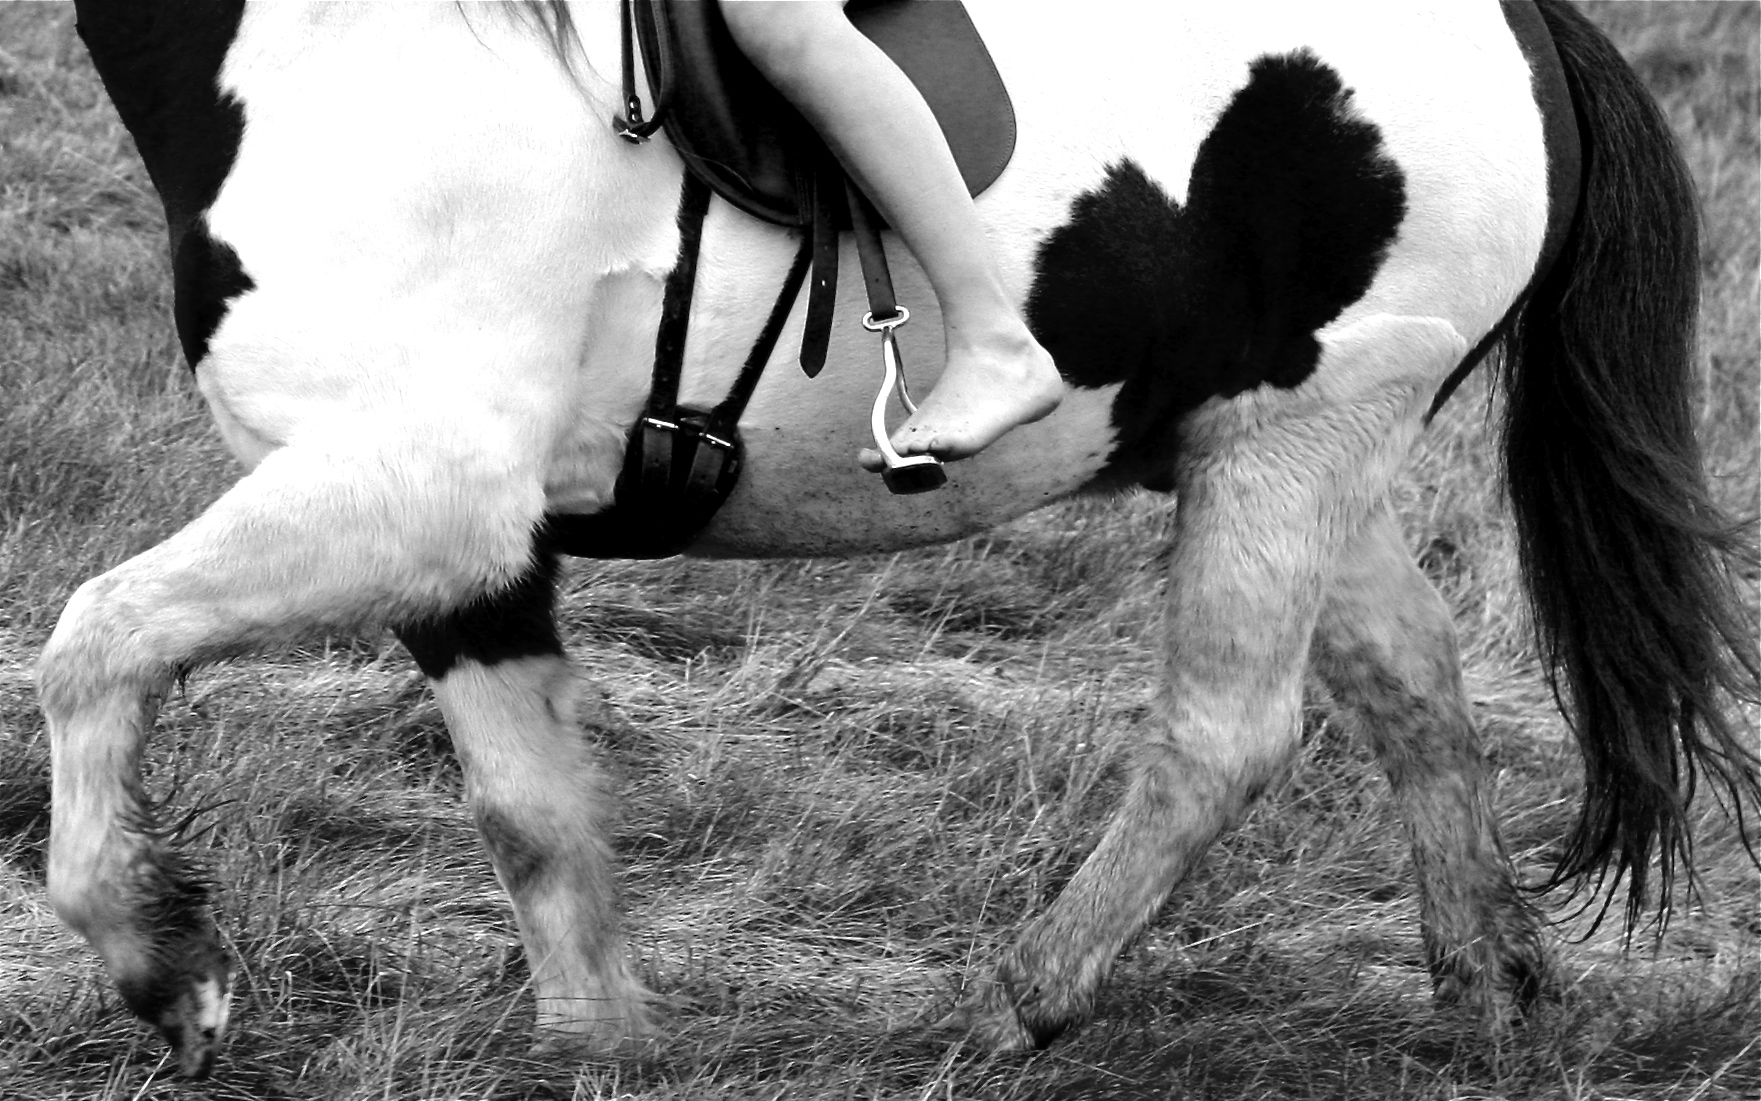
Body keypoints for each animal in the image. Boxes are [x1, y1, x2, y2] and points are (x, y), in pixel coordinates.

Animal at [46, 0, 1759, 1079]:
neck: (332, 48)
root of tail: (1531, 31)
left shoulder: (414, 482)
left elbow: (88, 645)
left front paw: (161, 957)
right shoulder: (458, 539)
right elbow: (528, 811)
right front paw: (599, 1044)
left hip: (1300, 439)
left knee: (1226, 732)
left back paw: (1017, 1006)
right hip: (1268, 445)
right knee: (1413, 688)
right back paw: (1488, 992)